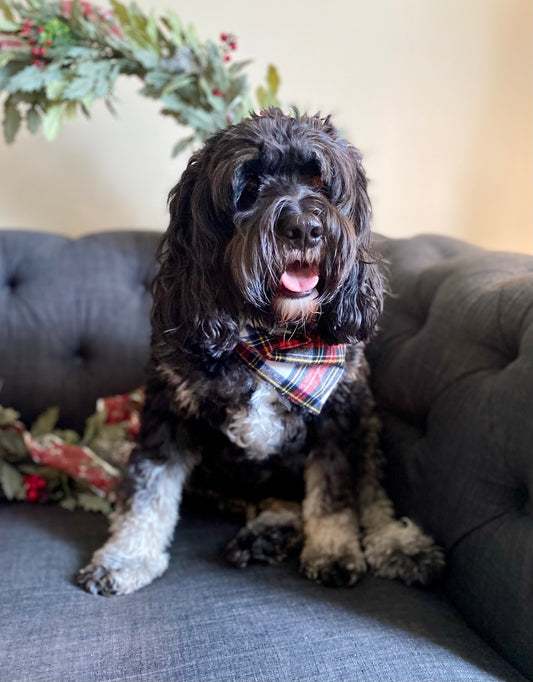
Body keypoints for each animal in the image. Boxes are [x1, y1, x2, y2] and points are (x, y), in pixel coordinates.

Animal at [77, 109, 442, 592]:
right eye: (249, 186)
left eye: (321, 182)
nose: (305, 228)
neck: (273, 340)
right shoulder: (169, 413)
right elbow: (148, 490)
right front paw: (125, 557)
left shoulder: (339, 419)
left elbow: (336, 495)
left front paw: (334, 549)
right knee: (272, 502)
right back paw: (267, 534)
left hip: (365, 418)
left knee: (371, 494)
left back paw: (396, 544)